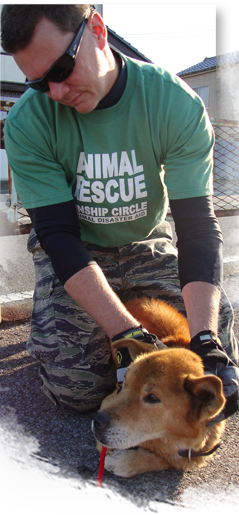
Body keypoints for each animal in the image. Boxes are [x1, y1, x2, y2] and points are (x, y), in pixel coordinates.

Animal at [92, 298, 225, 480]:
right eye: (125, 382)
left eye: (153, 398)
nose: (97, 419)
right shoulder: (108, 400)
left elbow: (167, 459)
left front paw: (127, 461)